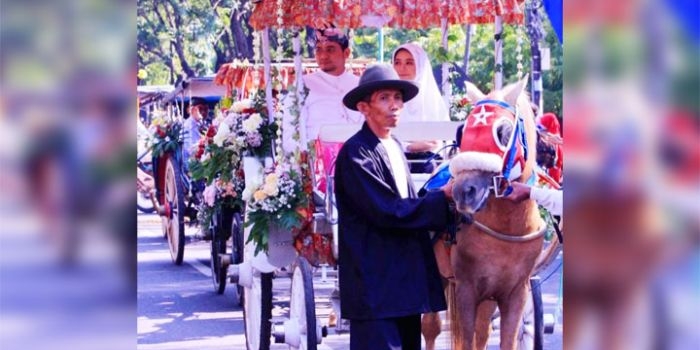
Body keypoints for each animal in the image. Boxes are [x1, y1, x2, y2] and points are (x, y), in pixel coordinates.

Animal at [422, 78, 548, 350]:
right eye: (464, 130)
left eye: (503, 132)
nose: (462, 191)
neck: (507, 227)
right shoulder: (466, 289)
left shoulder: (516, 293)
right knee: (430, 327)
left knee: (483, 331)